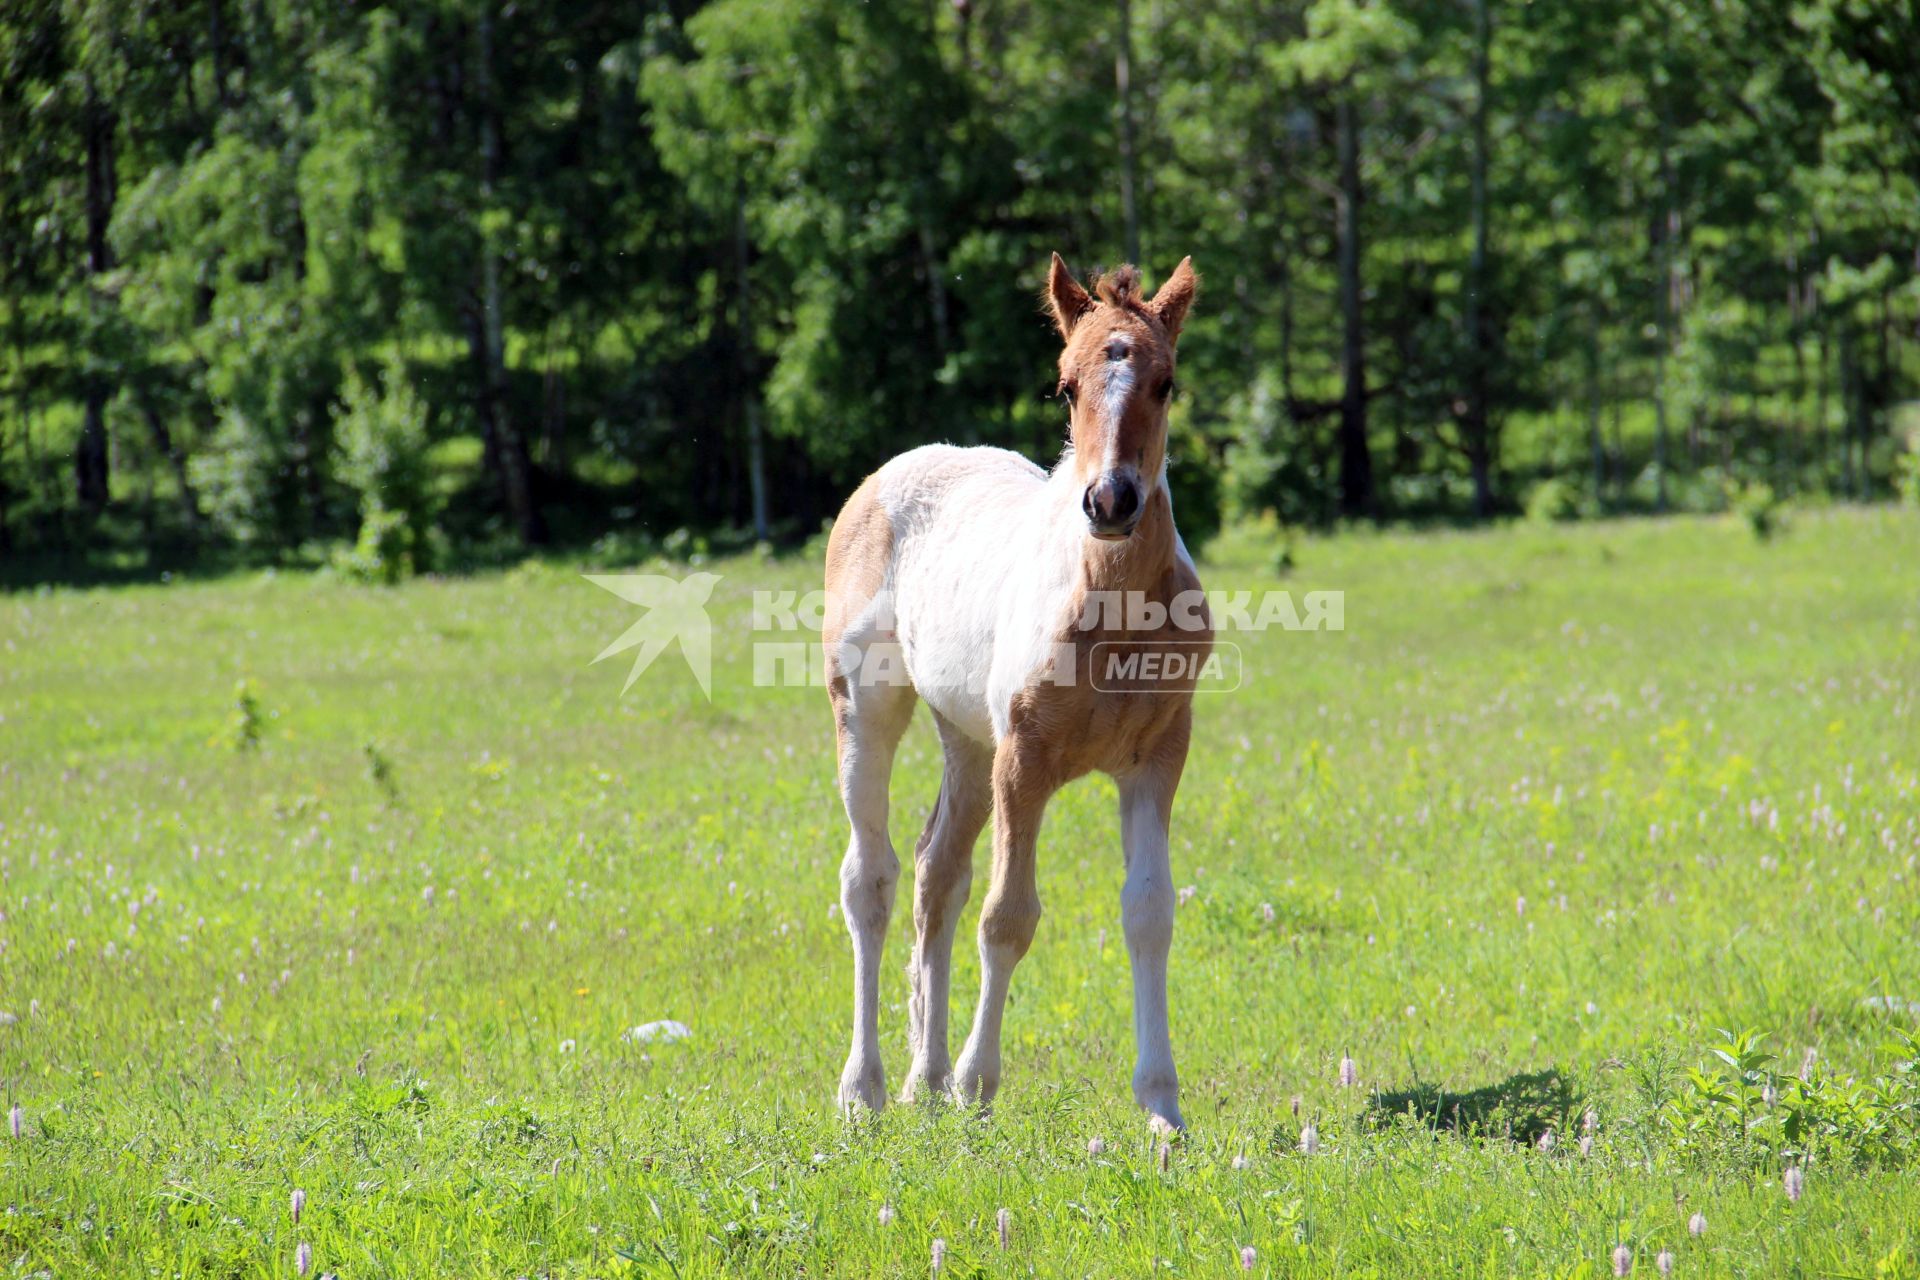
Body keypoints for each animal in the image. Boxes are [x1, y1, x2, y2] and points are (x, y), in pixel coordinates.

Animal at [825, 255, 1213, 1136]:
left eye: (1167, 383)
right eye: (1066, 386)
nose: (1110, 502)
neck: (1110, 607)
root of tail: (893, 469)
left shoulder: (1158, 756)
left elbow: (1150, 913)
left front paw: (1163, 1109)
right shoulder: (1024, 759)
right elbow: (1008, 915)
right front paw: (978, 1085)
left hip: (966, 739)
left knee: (936, 874)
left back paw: (923, 1079)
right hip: (867, 708)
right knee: (872, 879)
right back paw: (866, 1089)